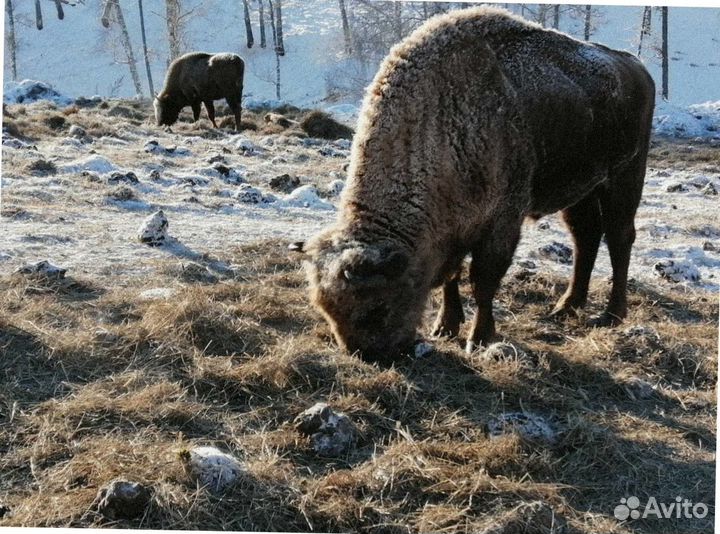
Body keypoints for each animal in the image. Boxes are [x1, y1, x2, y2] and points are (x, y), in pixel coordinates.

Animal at [296, 7, 652, 364]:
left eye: (377, 308)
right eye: (326, 309)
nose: (371, 355)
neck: (438, 127)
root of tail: (637, 68)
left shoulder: (501, 223)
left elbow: (482, 282)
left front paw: (478, 339)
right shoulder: (453, 230)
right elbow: (451, 278)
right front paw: (444, 327)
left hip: (624, 178)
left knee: (619, 237)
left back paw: (611, 314)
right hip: (581, 191)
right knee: (585, 237)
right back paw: (565, 307)